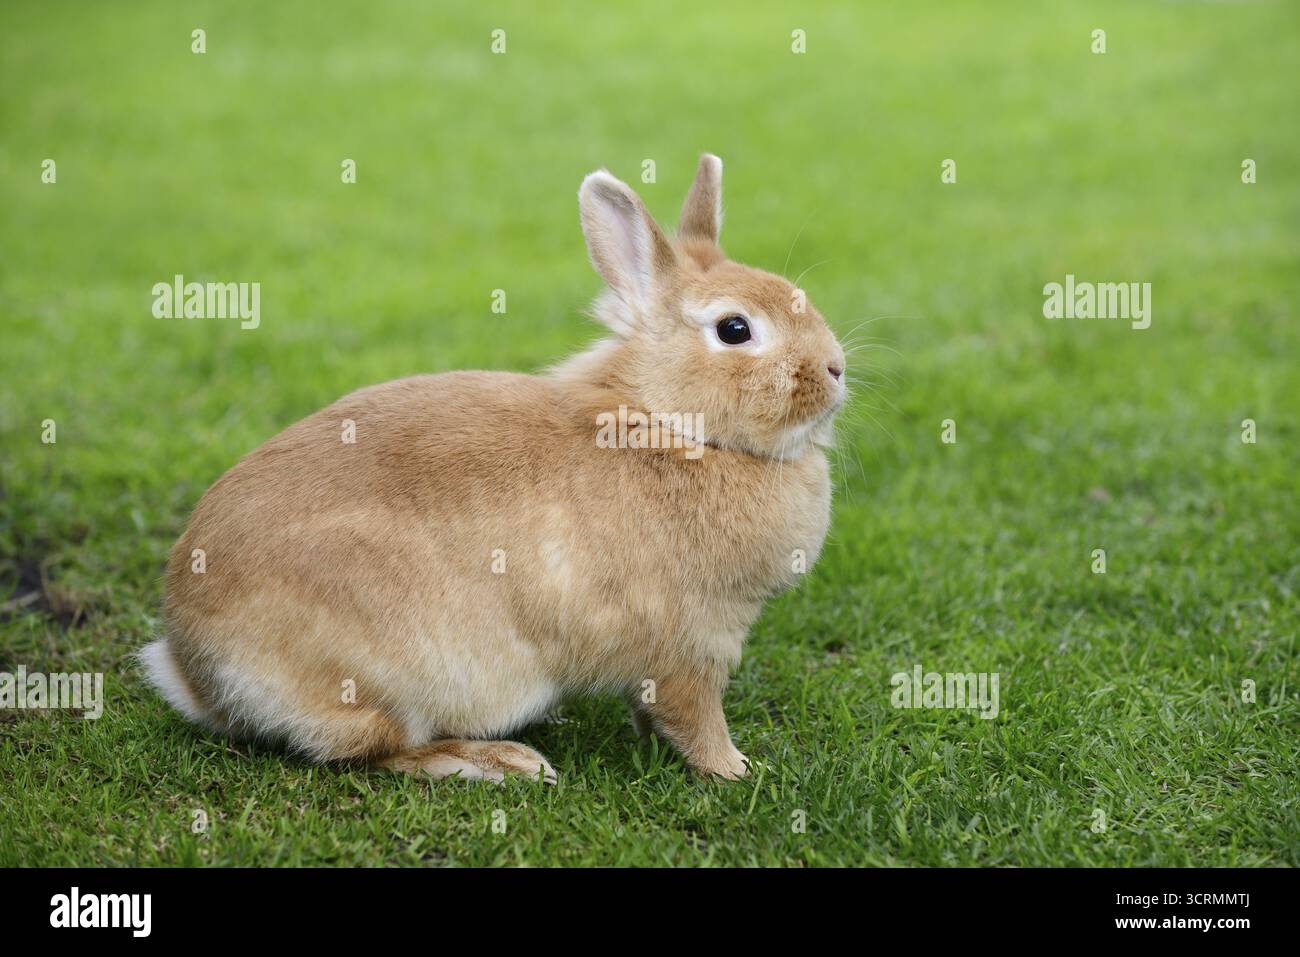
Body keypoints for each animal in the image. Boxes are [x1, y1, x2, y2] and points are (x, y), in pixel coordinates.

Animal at [141, 154, 846, 783]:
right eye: (735, 329)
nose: (836, 368)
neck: (671, 424)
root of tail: (195, 668)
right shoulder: (690, 646)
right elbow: (696, 720)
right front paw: (739, 772)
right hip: (399, 679)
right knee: (373, 750)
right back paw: (498, 762)